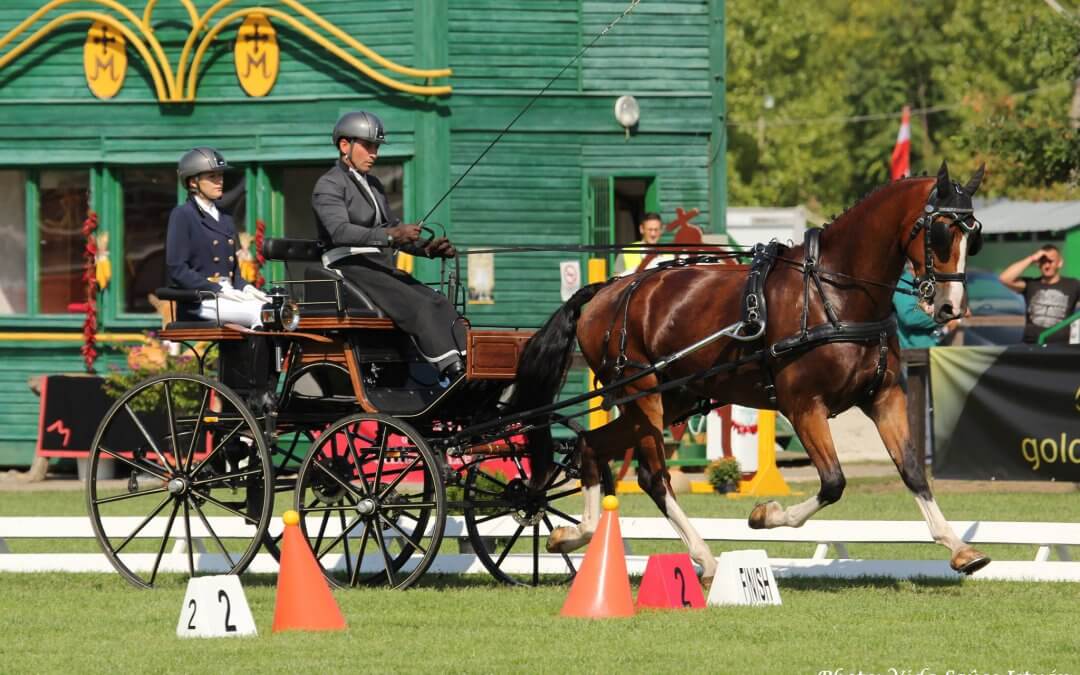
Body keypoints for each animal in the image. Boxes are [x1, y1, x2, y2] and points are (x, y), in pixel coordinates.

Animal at [513, 161, 989, 584]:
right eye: (942, 231)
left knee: (591, 446)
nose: (950, 307)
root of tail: (607, 290)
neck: (833, 293)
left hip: (672, 398)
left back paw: (577, 534)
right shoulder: (803, 407)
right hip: (643, 395)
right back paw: (702, 557)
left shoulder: (884, 398)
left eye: (974, 235)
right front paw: (765, 514)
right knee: (653, 475)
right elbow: (833, 482)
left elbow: (912, 470)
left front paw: (958, 548)